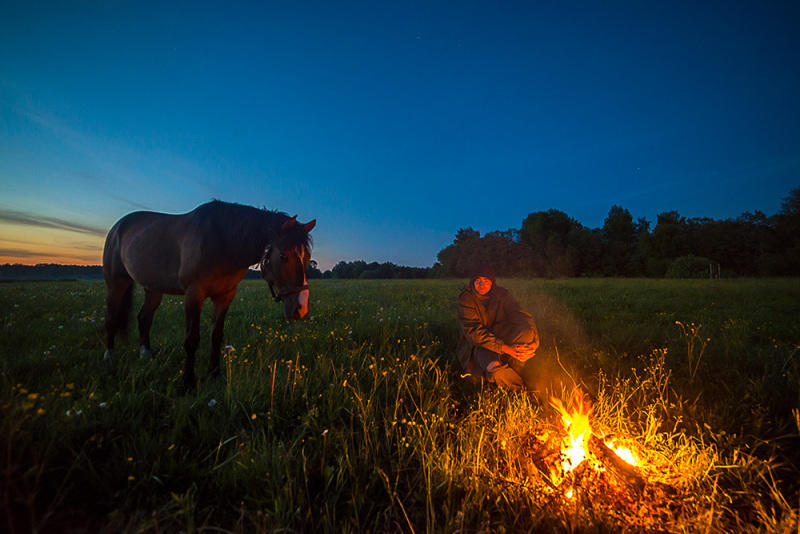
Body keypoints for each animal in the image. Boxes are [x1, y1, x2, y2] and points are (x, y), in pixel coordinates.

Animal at [104, 201, 318, 390]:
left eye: (307, 257)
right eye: (283, 256)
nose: (301, 308)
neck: (222, 241)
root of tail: (117, 227)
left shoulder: (225, 296)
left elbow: (216, 336)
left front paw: (214, 374)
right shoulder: (193, 294)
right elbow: (192, 340)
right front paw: (188, 381)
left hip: (154, 289)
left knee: (144, 318)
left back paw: (145, 354)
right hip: (116, 283)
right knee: (111, 318)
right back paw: (109, 358)